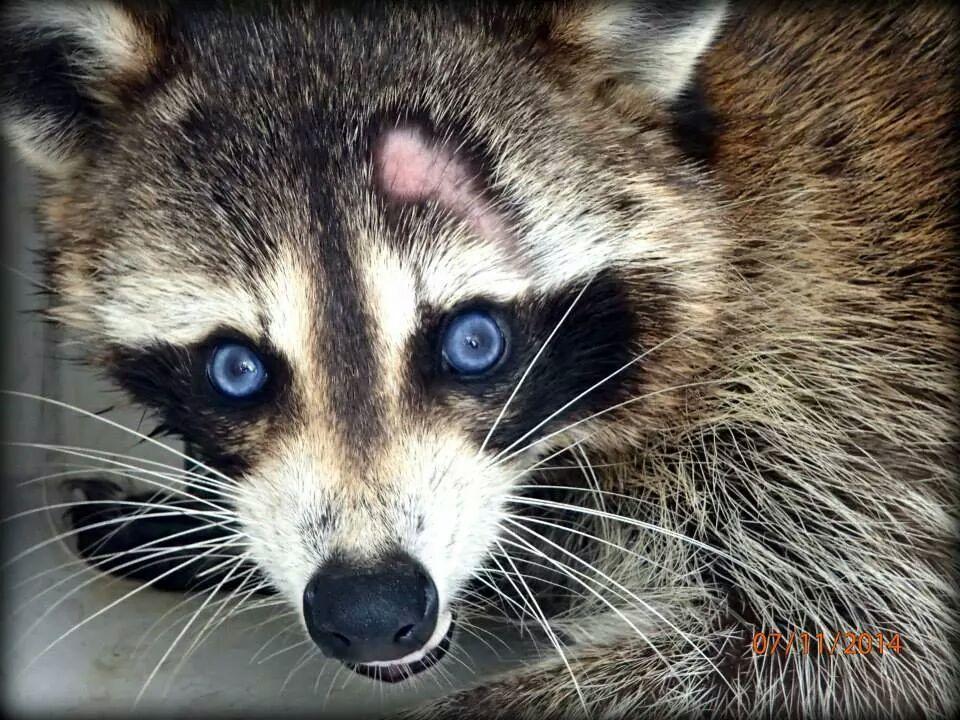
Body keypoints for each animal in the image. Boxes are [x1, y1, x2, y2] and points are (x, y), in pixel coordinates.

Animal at [1, 0, 960, 716]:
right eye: (235, 369)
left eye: (474, 341)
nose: (371, 612)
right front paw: (199, 531)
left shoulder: (828, 382)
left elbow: (834, 649)